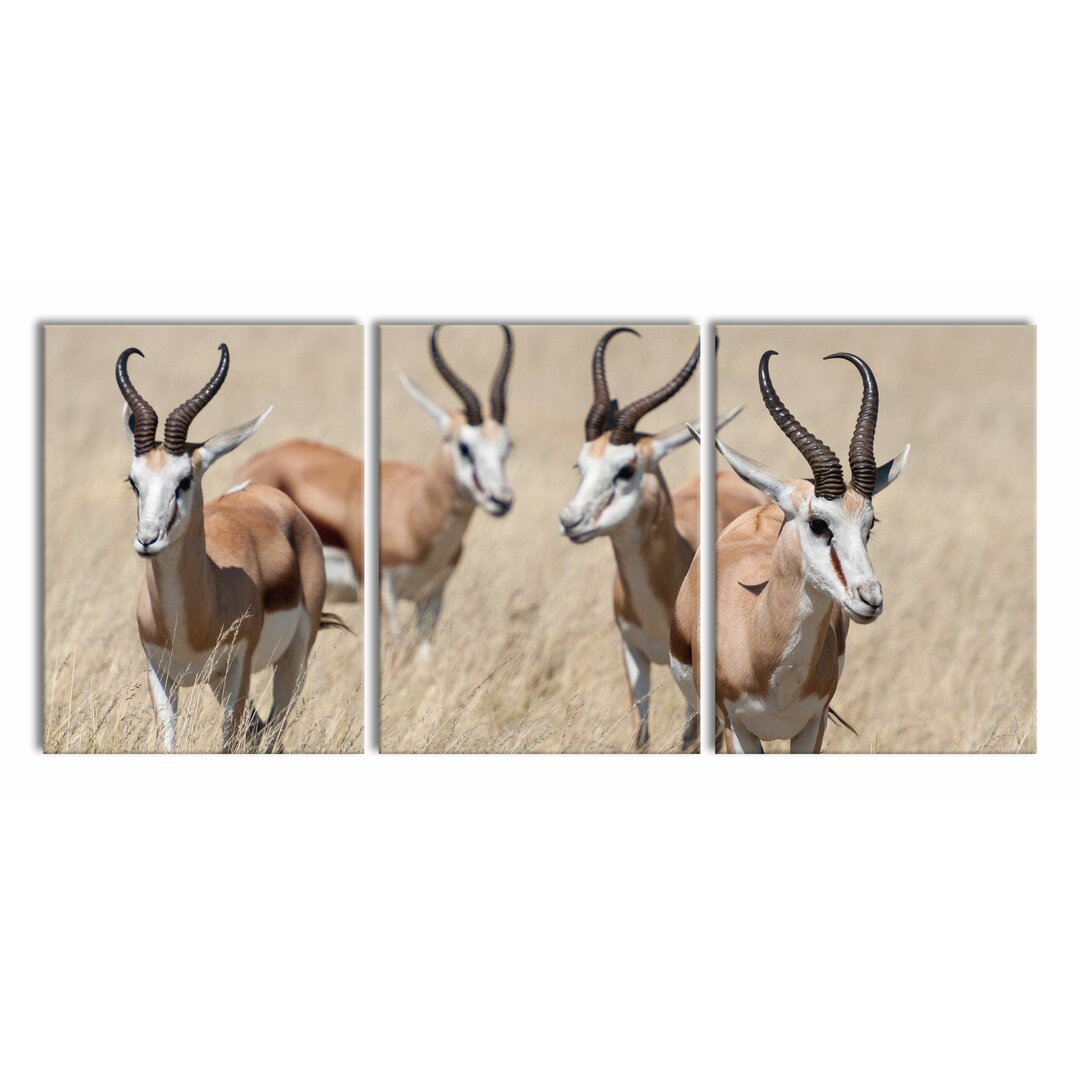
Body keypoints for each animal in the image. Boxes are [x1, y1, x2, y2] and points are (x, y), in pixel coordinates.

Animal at [117, 343, 339, 751]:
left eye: (184, 480)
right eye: (133, 481)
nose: (147, 539)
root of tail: (266, 494)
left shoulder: (239, 667)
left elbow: (228, 742)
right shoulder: (160, 674)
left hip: (291, 663)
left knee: (273, 732)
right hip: (218, 682)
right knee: (260, 730)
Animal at [239, 321, 514, 656]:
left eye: (507, 446)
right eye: (464, 446)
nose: (501, 499)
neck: (415, 516)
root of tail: (259, 461)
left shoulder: (432, 596)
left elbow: (423, 658)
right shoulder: (381, 591)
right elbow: (394, 651)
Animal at [557, 328, 768, 751]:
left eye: (626, 469)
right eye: (580, 464)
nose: (570, 521)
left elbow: (690, 738)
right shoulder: (632, 651)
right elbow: (641, 735)